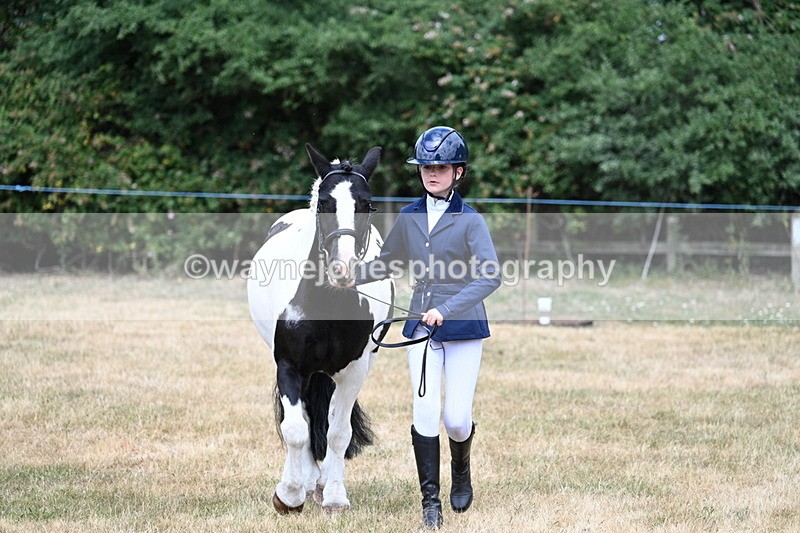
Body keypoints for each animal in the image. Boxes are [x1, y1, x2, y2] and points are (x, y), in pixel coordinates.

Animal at [247, 144, 394, 515]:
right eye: (325, 203)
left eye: (366, 204)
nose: (343, 269)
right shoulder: (289, 366)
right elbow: (295, 428)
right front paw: (289, 495)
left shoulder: (354, 371)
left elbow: (338, 433)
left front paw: (335, 497)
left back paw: (322, 482)